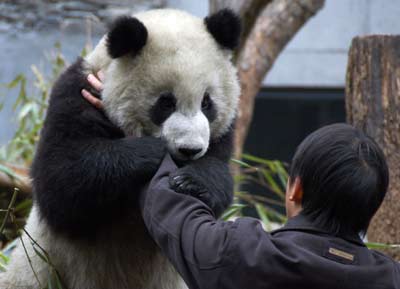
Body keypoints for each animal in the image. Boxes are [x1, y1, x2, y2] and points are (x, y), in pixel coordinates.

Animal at [0, 7, 241, 286]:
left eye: (206, 103)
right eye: (166, 103)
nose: (190, 150)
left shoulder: (223, 133)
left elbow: (218, 177)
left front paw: (191, 181)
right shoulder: (76, 95)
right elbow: (60, 180)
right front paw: (151, 151)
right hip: (39, 269)